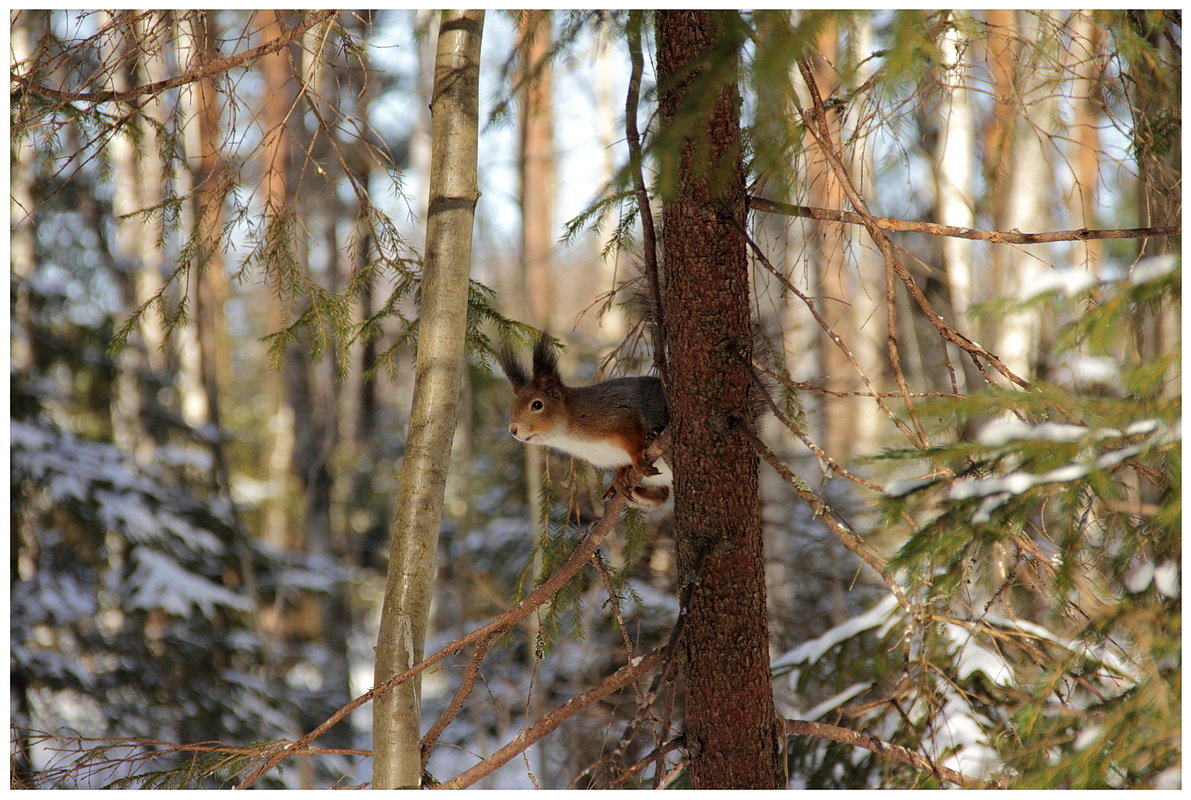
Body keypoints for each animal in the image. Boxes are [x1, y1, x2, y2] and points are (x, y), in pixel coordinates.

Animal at [495, 333, 671, 509]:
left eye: (537, 405)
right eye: (512, 406)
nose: (513, 430)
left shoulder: (622, 416)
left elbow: (635, 443)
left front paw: (637, 460)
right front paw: (618, 479)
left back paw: (655, 433)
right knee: (661, 496)